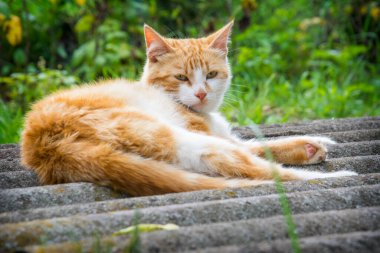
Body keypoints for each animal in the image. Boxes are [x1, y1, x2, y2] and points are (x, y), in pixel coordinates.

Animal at [20, 21, 356, 196]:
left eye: (211, 74)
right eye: (181, 77)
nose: (201, 93)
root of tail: (47, 147)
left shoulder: (225, 134)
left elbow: (260, 143)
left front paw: (313, 143)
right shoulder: (208, 133)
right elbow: (255, 150)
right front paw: (311, 148)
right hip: (177, 137)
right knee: (260, 170)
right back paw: (336, 177)